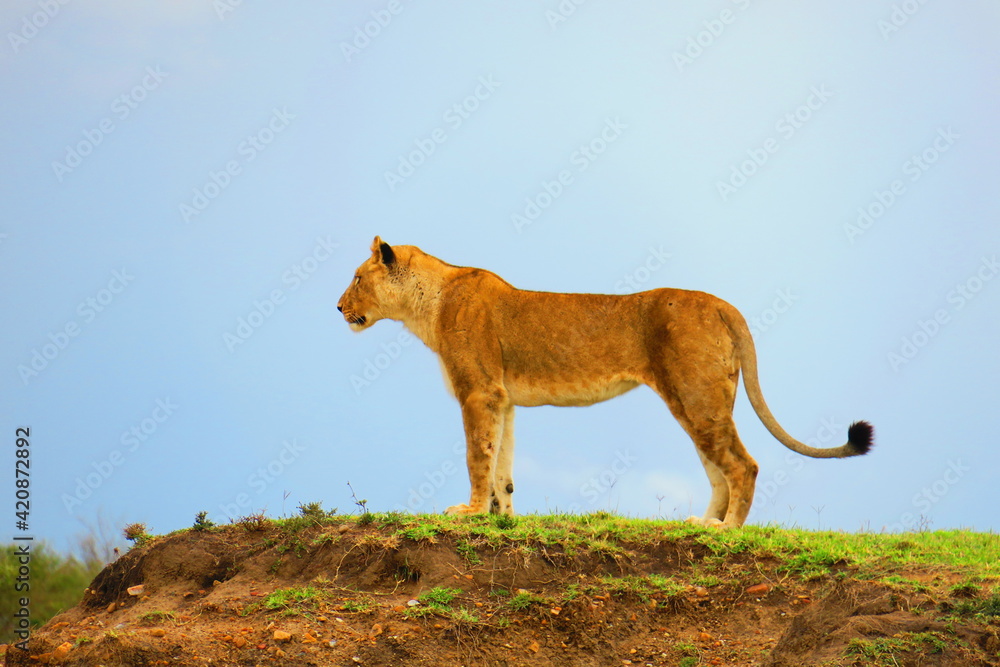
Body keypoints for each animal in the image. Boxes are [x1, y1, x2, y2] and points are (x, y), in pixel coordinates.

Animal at [337, 236, 872, 528]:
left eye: (358, 278)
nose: (339, 307)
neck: (426, 304)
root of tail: (723, 303)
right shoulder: (502, 399)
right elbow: (502, 464)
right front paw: (502, 518)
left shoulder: (478, 392)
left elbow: (477, 457)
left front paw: (469, 514)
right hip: (695, 402)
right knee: (719, 467)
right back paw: (705, 523)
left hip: (697, 397)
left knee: (744, 465)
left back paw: (727, 532)